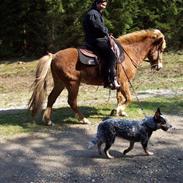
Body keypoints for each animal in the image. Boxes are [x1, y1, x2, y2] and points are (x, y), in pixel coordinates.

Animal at [28, 29, 166, 126]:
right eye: (161, 49)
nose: (159, 66)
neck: (128, 53)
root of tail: (54, 55)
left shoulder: (119, 84)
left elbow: (120, 98)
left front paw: (119, 111)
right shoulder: (124, 82)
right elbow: (129, 98)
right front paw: (118, 110)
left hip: (60, 83)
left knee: (51, 98)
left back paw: (48, 121)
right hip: (73, 83)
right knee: (72, 101)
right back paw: (83, 120)